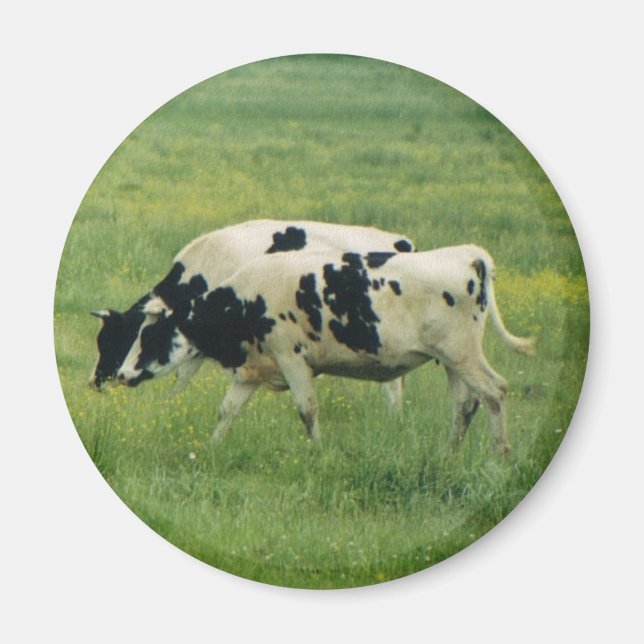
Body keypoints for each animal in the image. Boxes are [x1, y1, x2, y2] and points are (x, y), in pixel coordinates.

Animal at [116, 245, 536, 453]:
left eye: (150, 336)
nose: (121, 374)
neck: (245, 299)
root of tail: (467, 254)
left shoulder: (291, 359)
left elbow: (307, 409)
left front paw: (317, 452)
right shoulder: (254, 369)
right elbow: (227, 410)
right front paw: (212, 447)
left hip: (463, 353)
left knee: (495, 392)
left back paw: (500, 454)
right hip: (451, 360)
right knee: (465, 404)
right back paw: (450, 453)